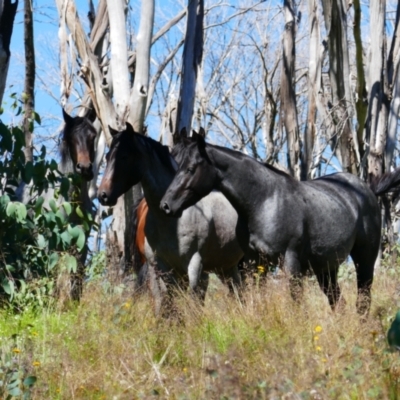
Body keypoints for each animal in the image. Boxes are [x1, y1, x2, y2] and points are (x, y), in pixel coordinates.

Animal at [161, 133, 400, 314]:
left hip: (364, 259)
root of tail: (368, 190)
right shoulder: (254, 263)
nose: (166, 205)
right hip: (326, 268)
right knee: (338, 302)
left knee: (363, 300)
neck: (264, 201)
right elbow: (257, 298)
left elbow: (295, 303)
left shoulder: (290, 262)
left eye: (191, 168)